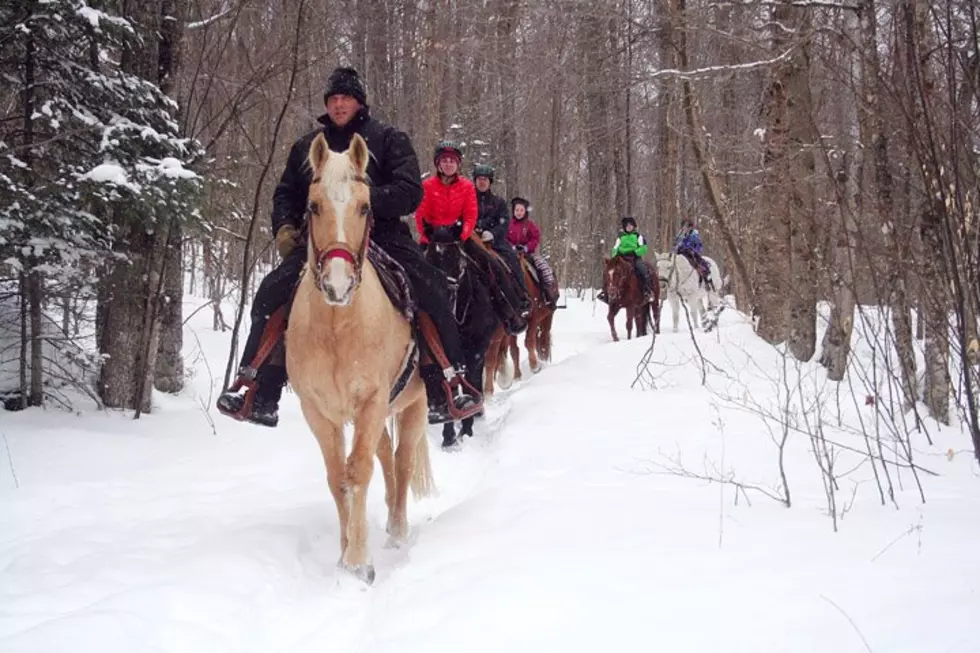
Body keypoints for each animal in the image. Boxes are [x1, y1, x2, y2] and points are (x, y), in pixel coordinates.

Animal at [288, 130, 432, 584]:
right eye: (313, 206)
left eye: (366, 206)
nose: (338, 285)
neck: (338, 326)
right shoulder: (318, 411)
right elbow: (339, 477)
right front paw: (343, 553)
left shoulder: (370, 400)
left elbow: (360, 469)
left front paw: (358, 562)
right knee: (386, 456)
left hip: (415, 404)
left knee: (400, 460)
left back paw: (398, 530)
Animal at [422, 230, 498, 448]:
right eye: (428, 258)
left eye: (459, 262)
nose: (439, 301)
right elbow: (448, 384)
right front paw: (448, 436)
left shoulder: (476, 351)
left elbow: (469, 380)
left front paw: (467, 428)